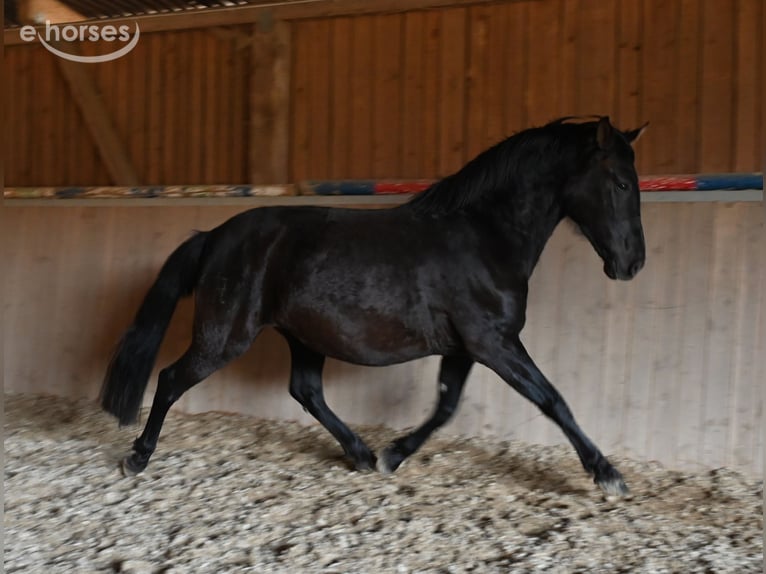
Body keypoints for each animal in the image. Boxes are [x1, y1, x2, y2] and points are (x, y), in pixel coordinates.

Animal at [101, 116, 647, 496]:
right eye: (621, 182)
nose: (632, 263)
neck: (483, 236)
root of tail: (214, 236)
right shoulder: (494, 343)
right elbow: (552, 400)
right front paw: (607, 475)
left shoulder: (466, 347)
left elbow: (446, 405)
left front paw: (392, 455)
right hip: (225, 336)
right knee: (171, 379)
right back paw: (137, 457)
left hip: (304, 335)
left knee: (306, 391)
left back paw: (361, 453)